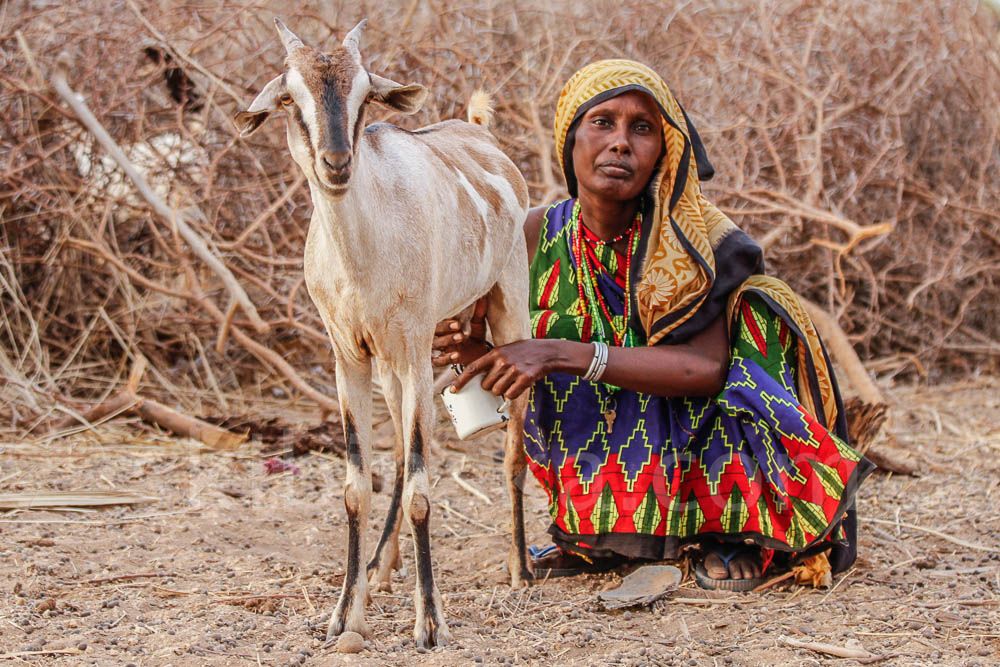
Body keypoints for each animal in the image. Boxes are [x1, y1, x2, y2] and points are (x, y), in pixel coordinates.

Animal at [235, 18, 536, 648]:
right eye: (289, 99)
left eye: (365, 94)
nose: (336, 163)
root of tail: (480, 133)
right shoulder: (350, 356)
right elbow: (358, 486)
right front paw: (344, 614)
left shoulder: (415, 348)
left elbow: (422, 489)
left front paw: (431, 621)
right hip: (404, 358)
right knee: (400, 449)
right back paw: (381, 567)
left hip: (506, 310)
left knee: (513, 448)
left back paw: (520, 568)